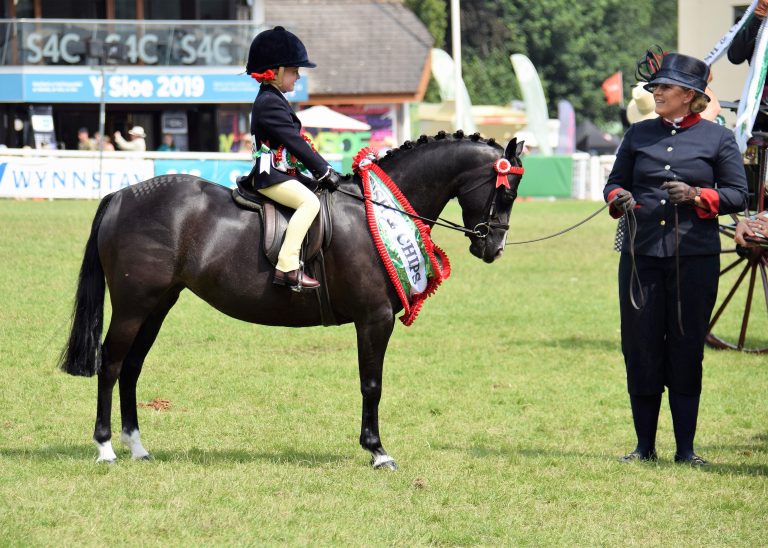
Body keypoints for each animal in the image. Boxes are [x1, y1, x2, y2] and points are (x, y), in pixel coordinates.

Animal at [61, 131, 520, 468]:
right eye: (507, 192)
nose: (493, 248)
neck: (376, 210)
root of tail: (122, 196)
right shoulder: (375, 318)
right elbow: (371, 384)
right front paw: (377, 451)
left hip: (157, 306)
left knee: (132, 368)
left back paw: (138, 447)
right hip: (133, 306)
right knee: (111, 364)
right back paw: (106, 448)